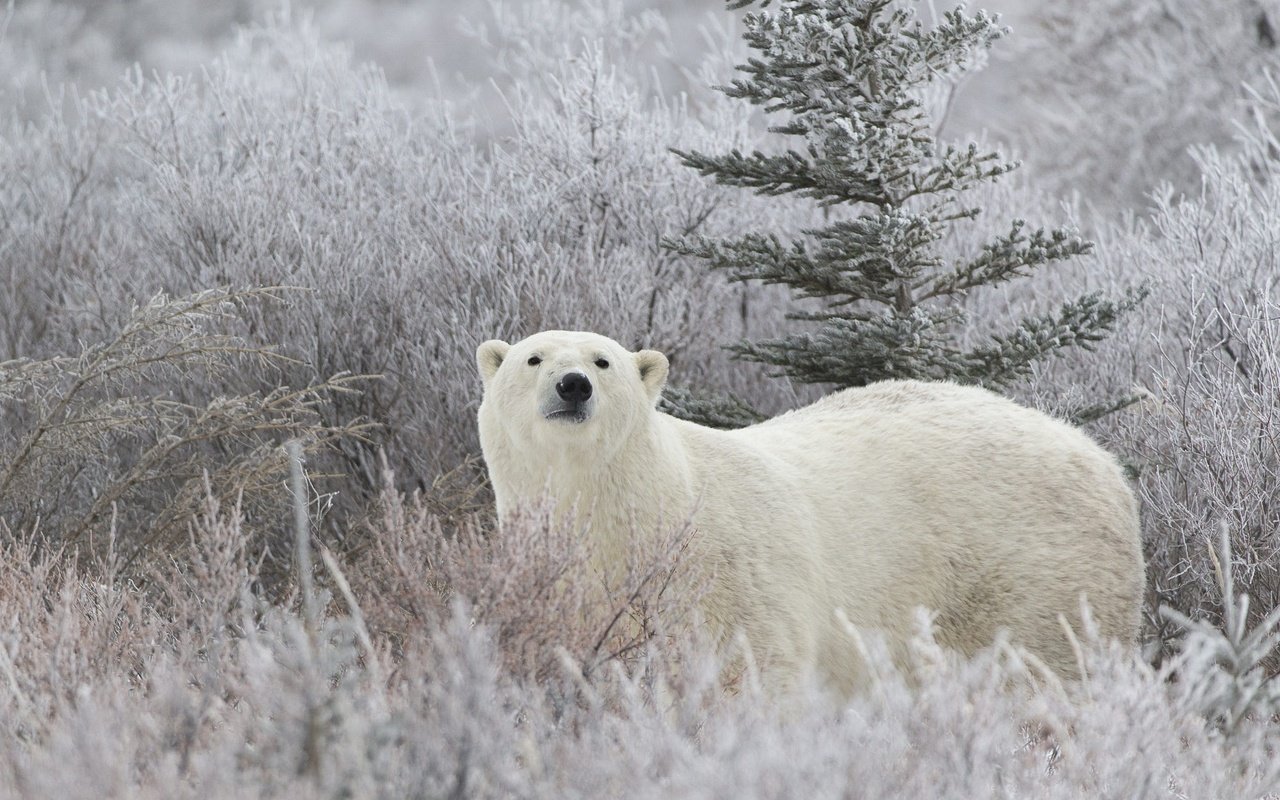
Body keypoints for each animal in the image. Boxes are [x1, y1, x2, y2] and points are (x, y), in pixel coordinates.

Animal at [476, 327, 1146, 691]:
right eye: (533, 358)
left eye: (603, 360)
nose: (572, 385)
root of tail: (1106, 464)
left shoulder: (732, 577)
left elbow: (746, 674)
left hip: (1035, 574)